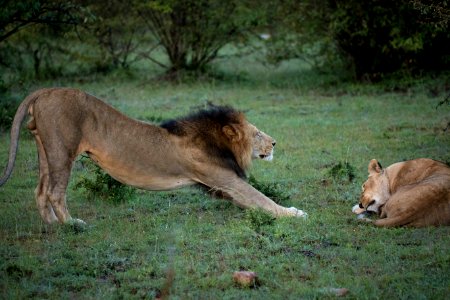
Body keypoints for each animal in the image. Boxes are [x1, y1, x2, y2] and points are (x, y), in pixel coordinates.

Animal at [0, 88, 306, 224]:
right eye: (257, 134)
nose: (275, 143)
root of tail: (45, 91)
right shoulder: (225, 179)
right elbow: (261, 198)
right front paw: (295, 212)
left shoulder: (218, 186)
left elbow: (252, 203)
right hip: (63, 150)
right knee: (54, 192)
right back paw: (72, 225)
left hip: (46, 148)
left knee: (40, 190)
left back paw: (52, 225)